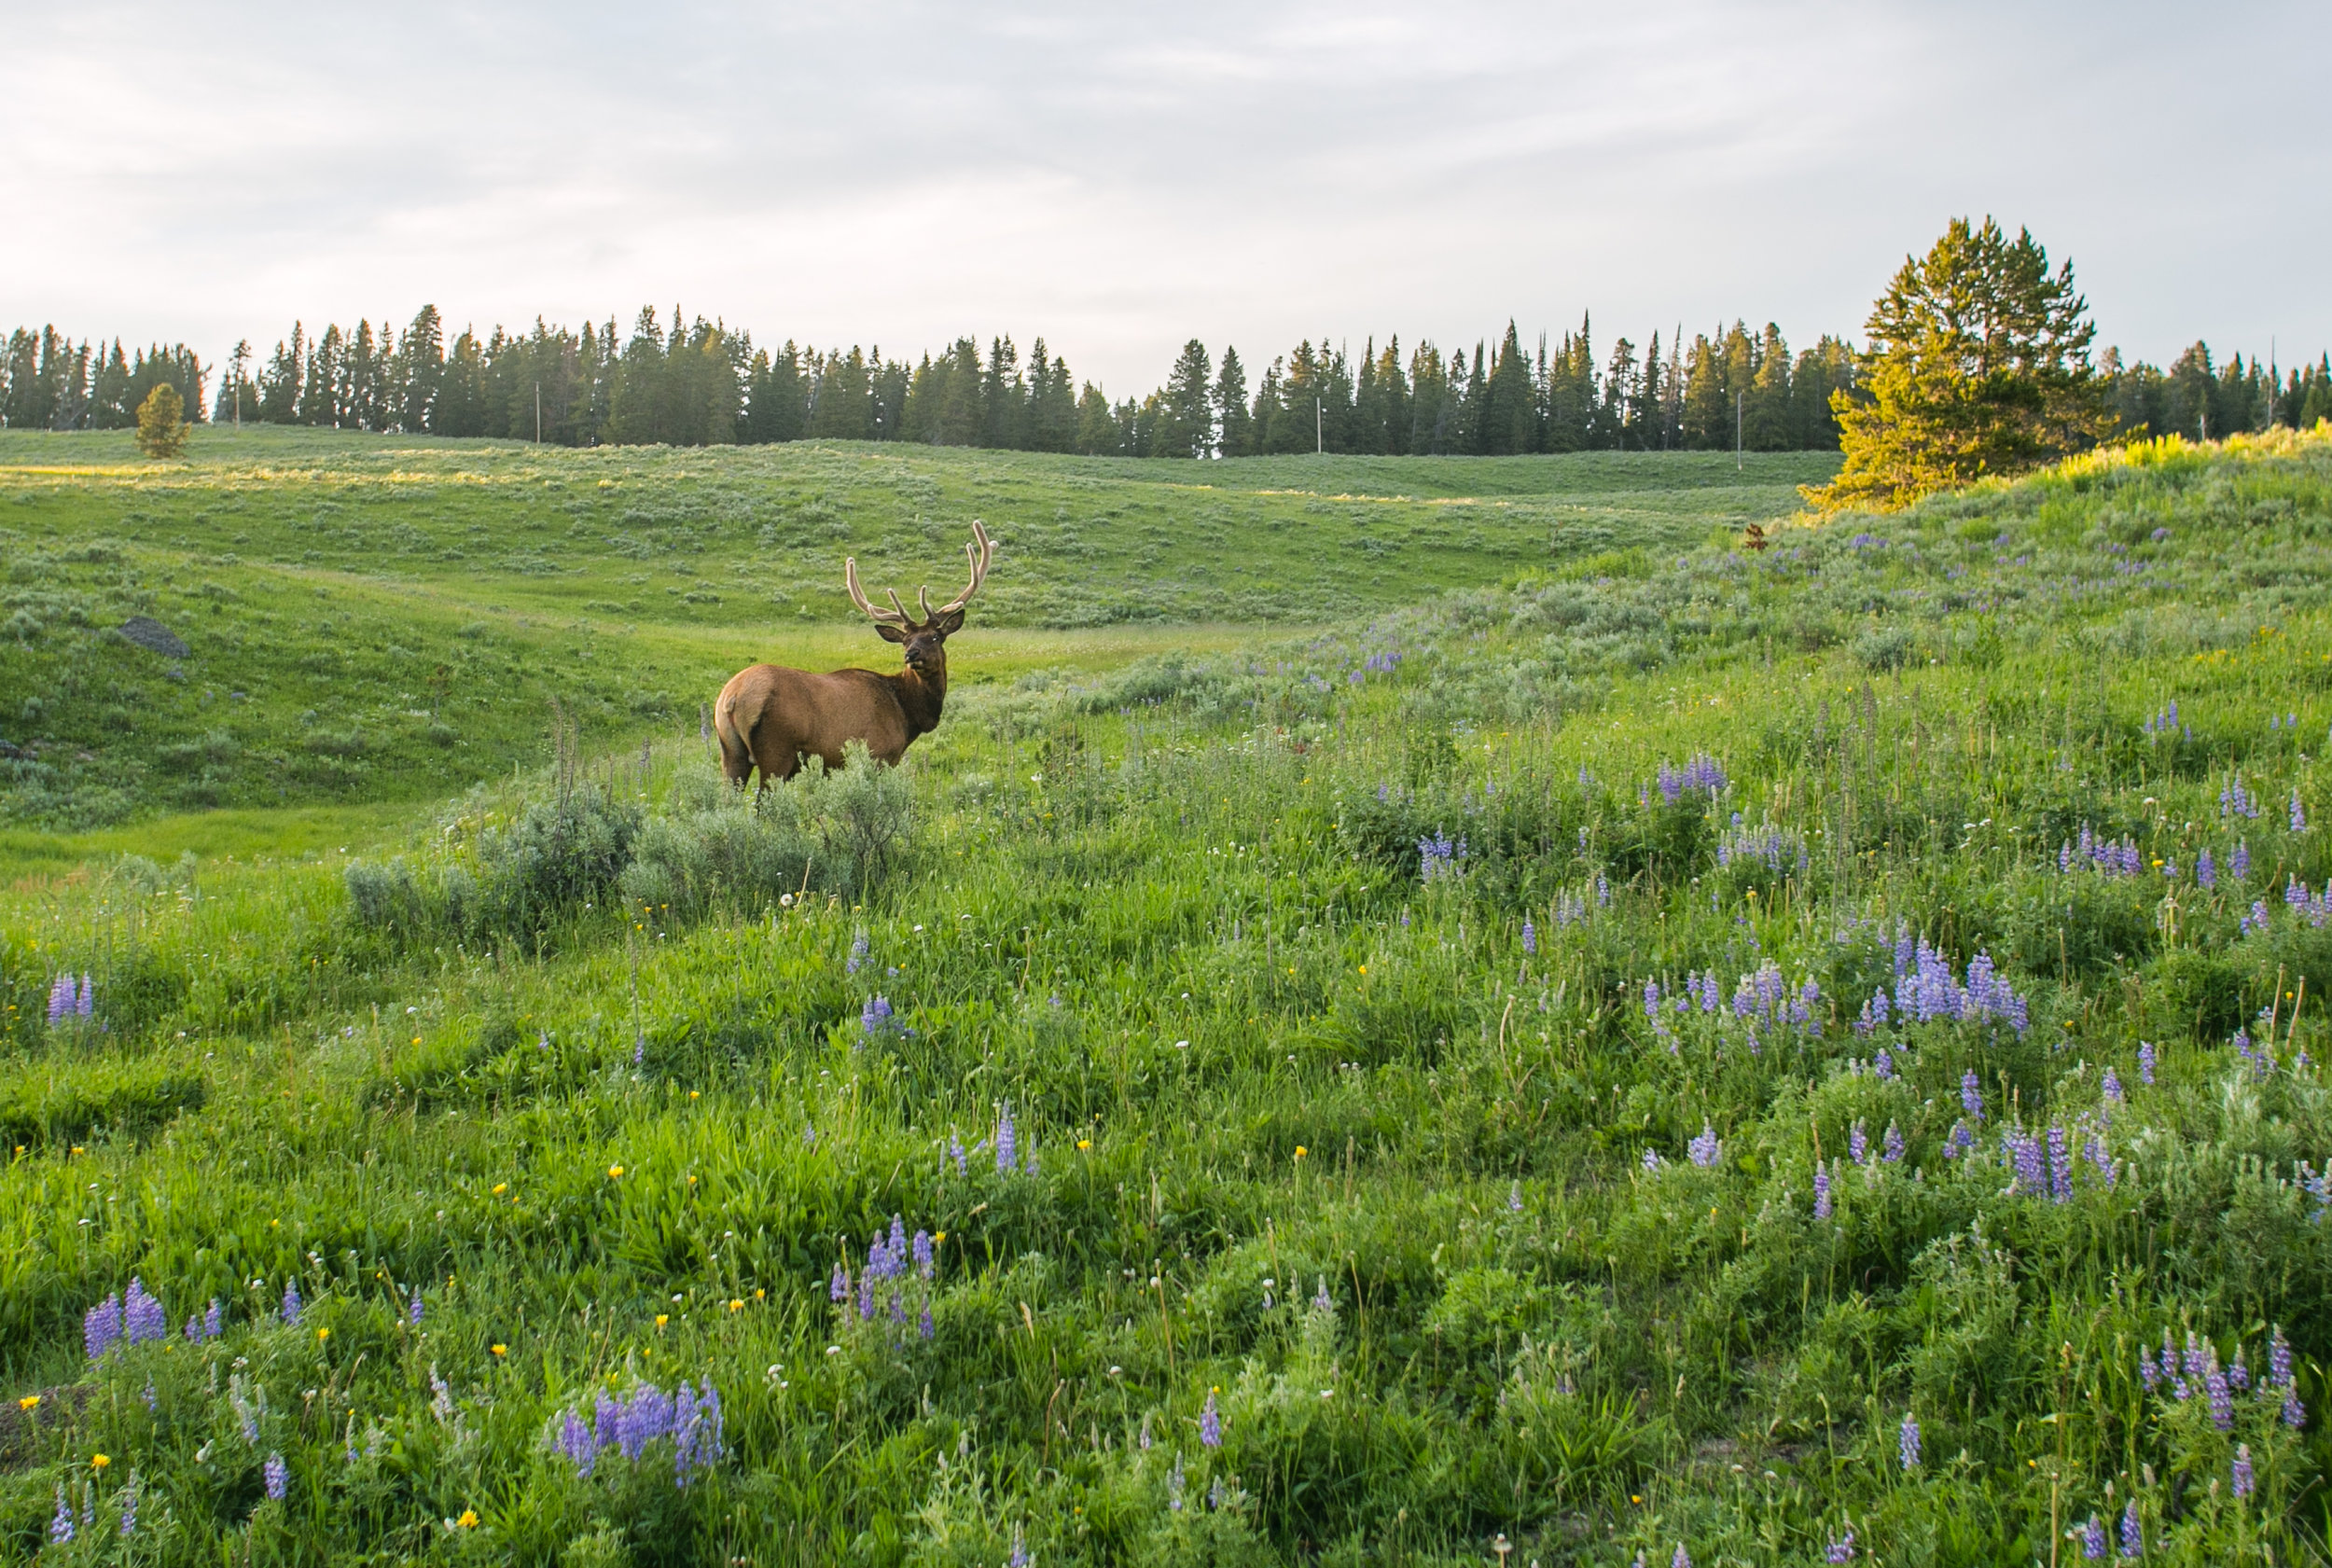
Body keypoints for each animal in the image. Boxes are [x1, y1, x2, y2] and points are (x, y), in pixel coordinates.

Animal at [714, 518, 998, 784]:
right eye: (905, 641)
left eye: (936, 636)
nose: (911, 655)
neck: (907, 715)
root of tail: (732, 697)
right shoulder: (880, 755)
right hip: (776, 752)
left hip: (730, 752)